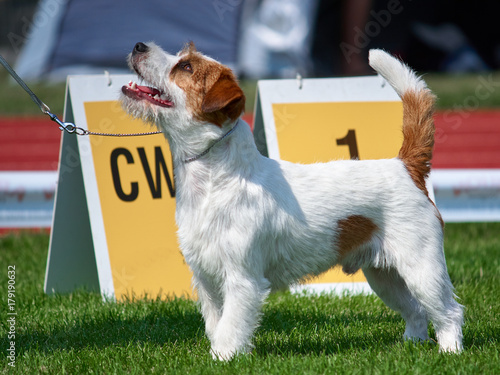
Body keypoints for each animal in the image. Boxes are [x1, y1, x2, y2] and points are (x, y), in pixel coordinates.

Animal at [119, 41, 462, 362]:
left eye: (186, 67)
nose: (138, 46)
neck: (215, 180)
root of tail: (404, 166)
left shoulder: (242, 279)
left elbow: (231, 326)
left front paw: (223, 358)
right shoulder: (206, 279)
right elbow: (216, 323)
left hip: (422, 268)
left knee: (448, 311)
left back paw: (450, 351)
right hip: (384, 275)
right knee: (416, 310)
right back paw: (412, 345)